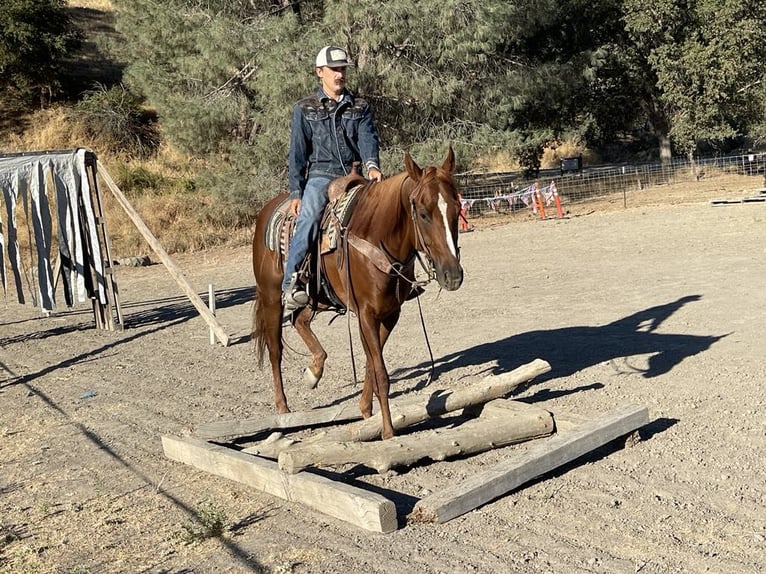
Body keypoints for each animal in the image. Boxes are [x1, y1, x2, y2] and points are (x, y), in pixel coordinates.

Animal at [251, 147, 464, 440]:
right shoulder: (366, 313)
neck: (377, 236)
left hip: (316, 298)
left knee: (299, 320)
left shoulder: (389, 314)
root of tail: (266, 211)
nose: (453, 275)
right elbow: (381, 373)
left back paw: (314, 371)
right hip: (271, 298)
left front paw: (365, 410)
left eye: (457, 208)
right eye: (422, 213)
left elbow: (371, 365)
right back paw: (282, 408)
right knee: (275, 350)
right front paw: (388, 432)